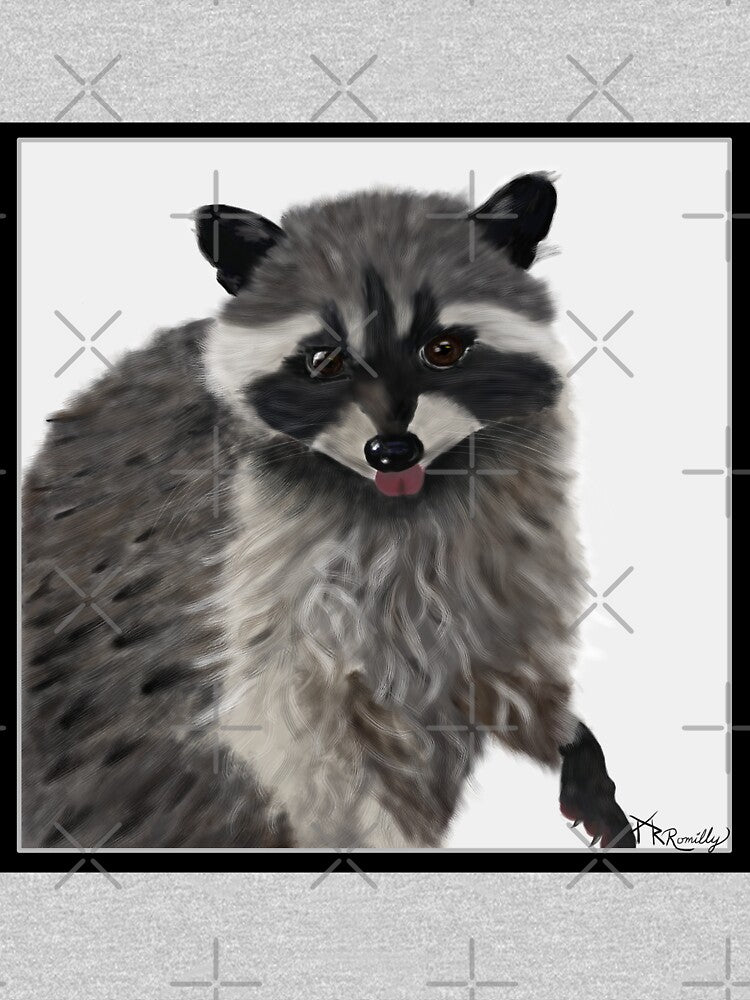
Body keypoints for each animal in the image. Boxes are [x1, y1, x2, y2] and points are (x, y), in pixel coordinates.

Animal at [22, 173, 635, 849]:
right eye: (325, 360)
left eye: (444, 348)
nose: (393, 452)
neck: (404, 501)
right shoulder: (263, 589)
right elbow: (297, 739)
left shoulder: (505, 556)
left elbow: (506, 674)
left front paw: (571, 739)